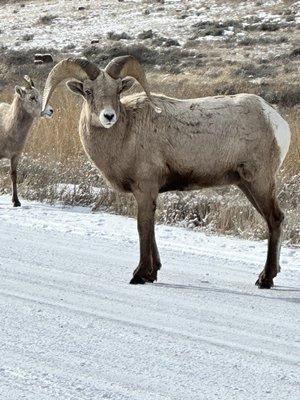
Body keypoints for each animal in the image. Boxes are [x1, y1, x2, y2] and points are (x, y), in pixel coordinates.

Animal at [42, 56, 290, 288]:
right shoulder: (148, 193)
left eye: (118, 90)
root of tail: (276, 121)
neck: (125, 134)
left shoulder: (145, 189)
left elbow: (143, 227)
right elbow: (151, 229)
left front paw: (139, 275)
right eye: (88, 91)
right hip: (246, 185)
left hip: (259, 182)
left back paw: (265, 279)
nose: (108, 116)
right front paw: (152, 274)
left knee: (275, 219)